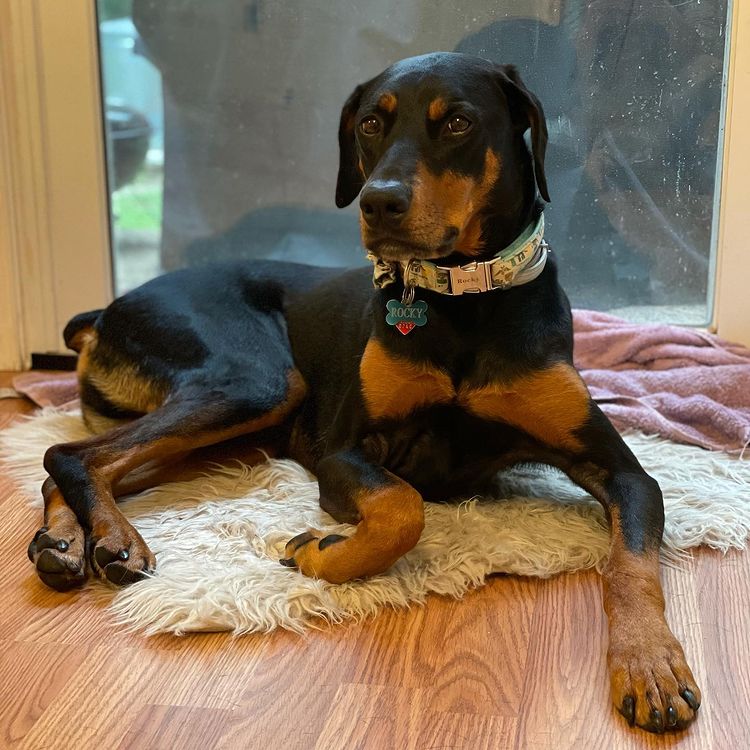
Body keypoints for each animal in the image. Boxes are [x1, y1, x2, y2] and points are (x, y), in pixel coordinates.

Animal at [27, 53, 700, 736]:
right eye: (371, 124)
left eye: (458, 122)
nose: (379, 201)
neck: (463, 299)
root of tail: (107, 311)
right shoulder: (345, 450)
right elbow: (403, 508)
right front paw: (320, 551)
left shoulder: (622, 471)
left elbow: (631, 565)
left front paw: (650, 665)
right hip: (255, 382)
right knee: (73, 455)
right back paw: (111, 540)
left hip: (230, 424)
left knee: (84, 465)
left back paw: (65, 543)